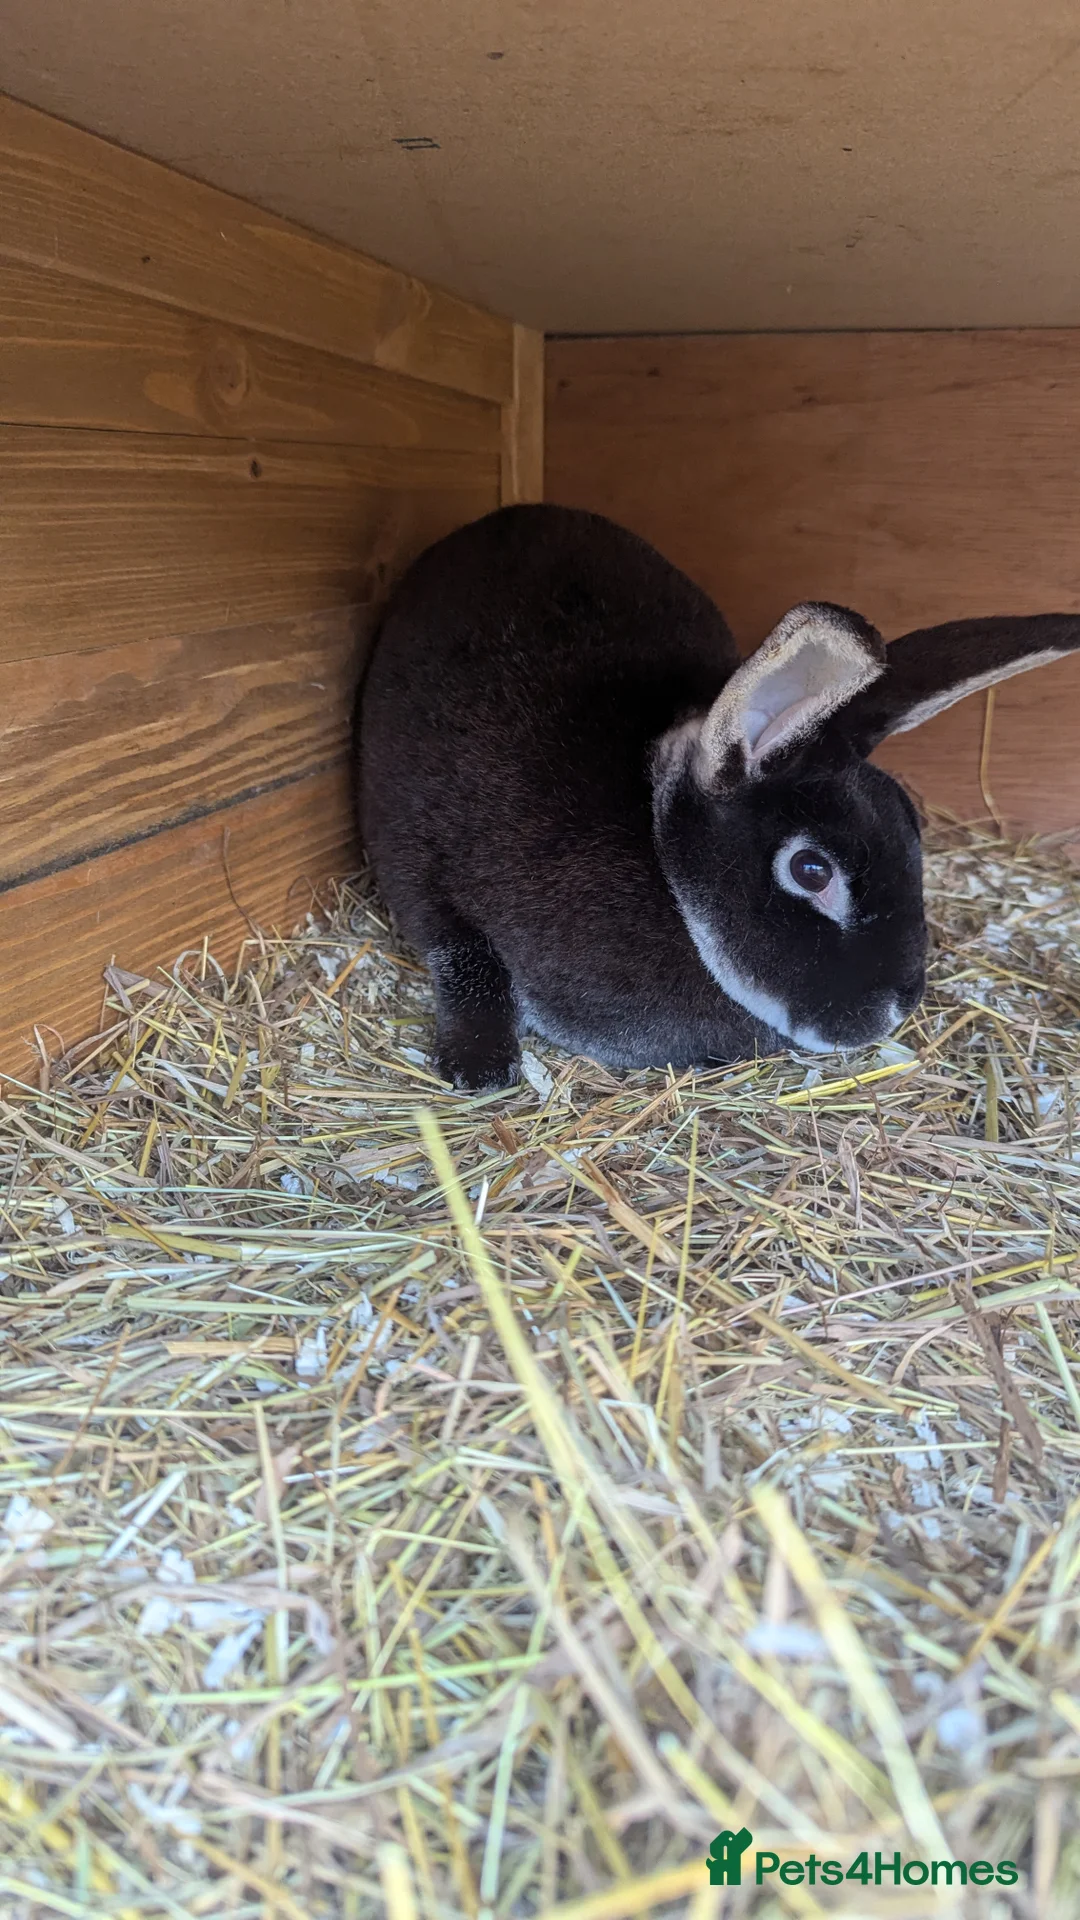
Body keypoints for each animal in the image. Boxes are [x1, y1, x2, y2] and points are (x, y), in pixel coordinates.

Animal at [356, 503, 1080, 1091]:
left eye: (913, 824)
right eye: (811, 870)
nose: (895, 1010)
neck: (659, 849)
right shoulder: (422, 861)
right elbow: (462, 959)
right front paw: (479, 1067)